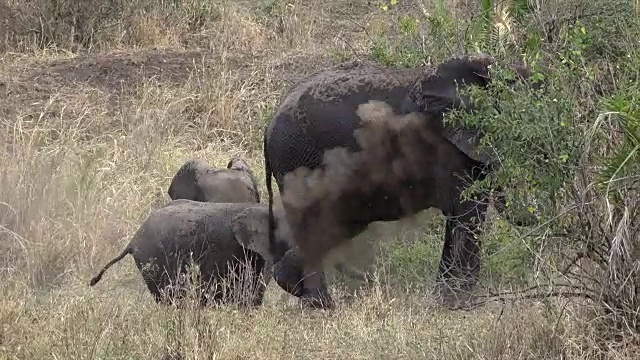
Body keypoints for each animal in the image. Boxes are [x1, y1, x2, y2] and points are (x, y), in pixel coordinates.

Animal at [262, 53, 536, 310]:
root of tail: (269, 125)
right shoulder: (450, 150)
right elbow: (469, 212)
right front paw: (460, 304)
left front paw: (443, 301)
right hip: (299, 161)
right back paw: (320, 304)